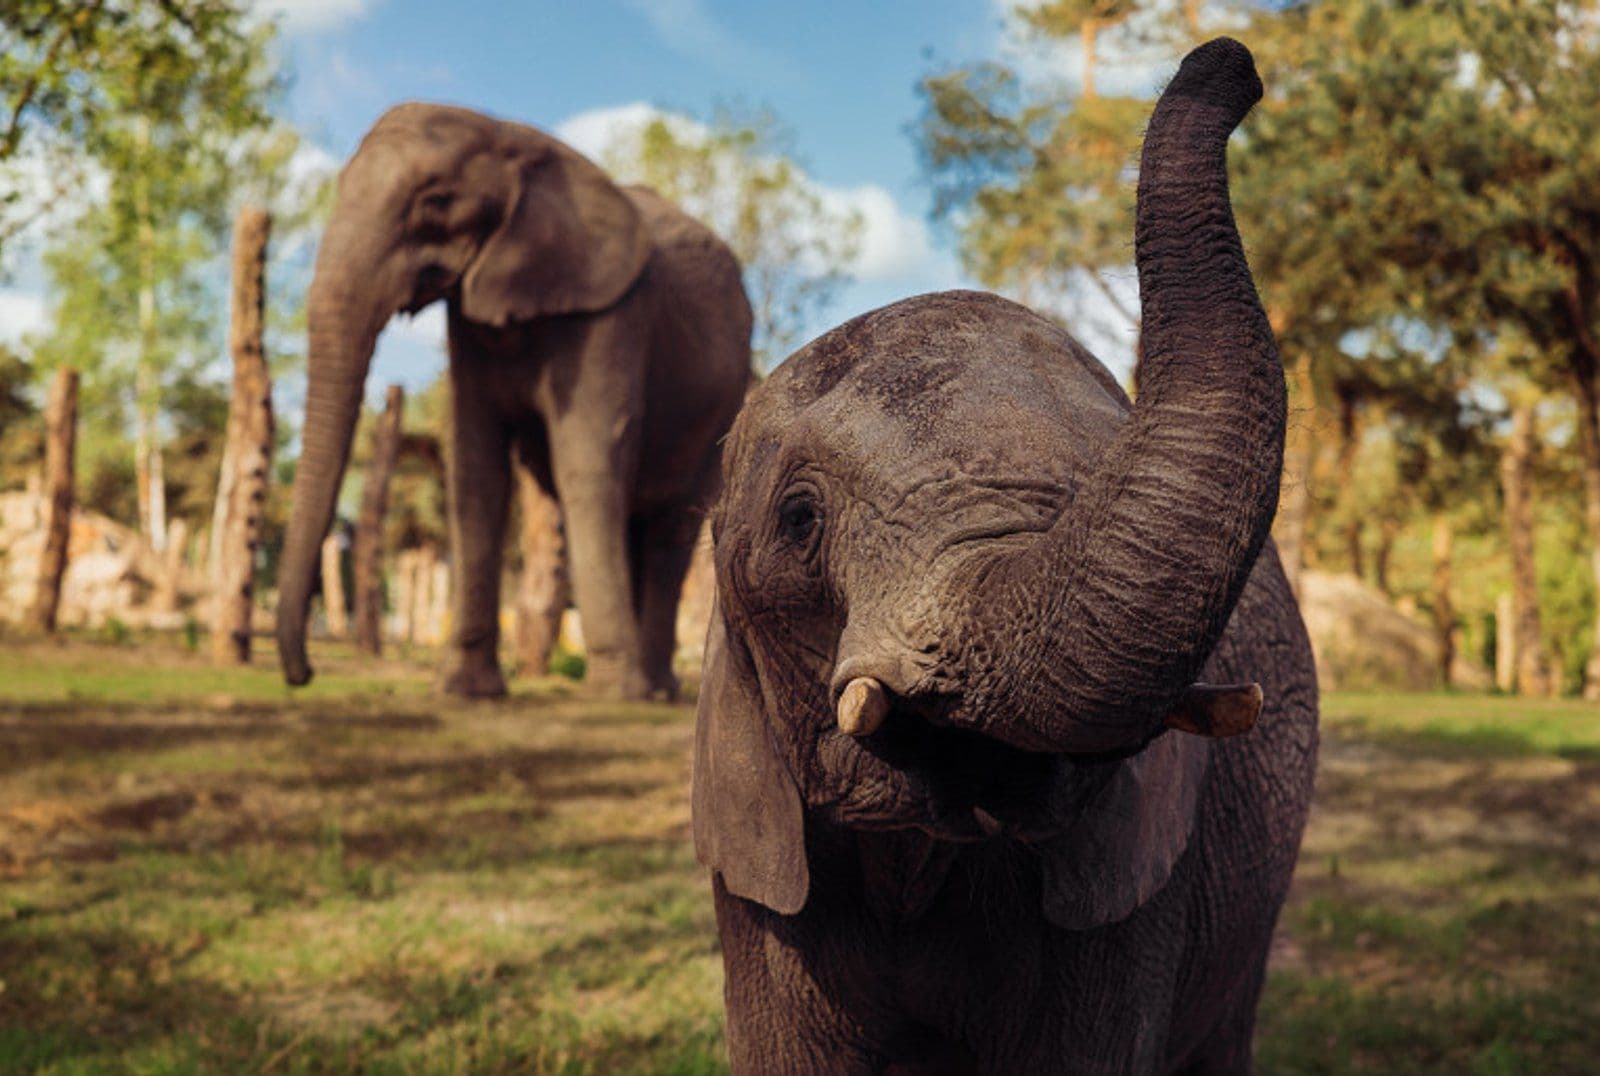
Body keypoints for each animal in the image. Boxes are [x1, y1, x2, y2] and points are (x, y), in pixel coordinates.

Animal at [275, 104, 748, 701]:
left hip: (722, 408)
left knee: (669, 530)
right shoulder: (469, 324)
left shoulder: (612, 314)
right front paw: (464, 690)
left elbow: (585, 464)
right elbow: (475, 470)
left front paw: (611, 694)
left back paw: (653, 692)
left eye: (436, 202)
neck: (511, 135)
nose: (303, 675)